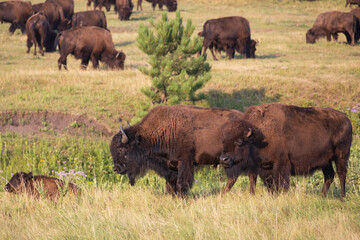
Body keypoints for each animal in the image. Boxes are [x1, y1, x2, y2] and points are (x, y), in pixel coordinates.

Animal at [110, 104, 245, 196]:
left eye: (121, 149)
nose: (116, 169)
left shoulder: (185, 163)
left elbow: (181, 183)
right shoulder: (171, 167)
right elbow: (170, 185)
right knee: (233, 178)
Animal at [219, 103, 352, 199]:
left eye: (239, 141)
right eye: (223, 140)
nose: (223, 159)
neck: (258, 135)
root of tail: (346, 119)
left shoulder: (281, 163)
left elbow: (281, 183)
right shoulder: (262, 167)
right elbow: (265, 183)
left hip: (341, 156)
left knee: (341, 174)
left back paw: (342, 197)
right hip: (325, 161)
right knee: (329, 176)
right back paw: (322, 197)